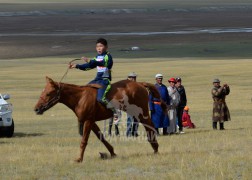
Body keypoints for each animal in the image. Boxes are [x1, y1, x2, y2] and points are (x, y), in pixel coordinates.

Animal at [34, 76, 166, 162]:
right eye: (43, 92)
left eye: (48, 93)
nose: (36, 109)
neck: (79, 98)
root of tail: (140, 84)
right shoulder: (91, 122)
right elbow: (101, 137)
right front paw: (112, 152)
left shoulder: (88, 121)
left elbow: (84, 141)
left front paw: (79, 158)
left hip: (141, 113)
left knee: (150, 126)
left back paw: (155, 148)